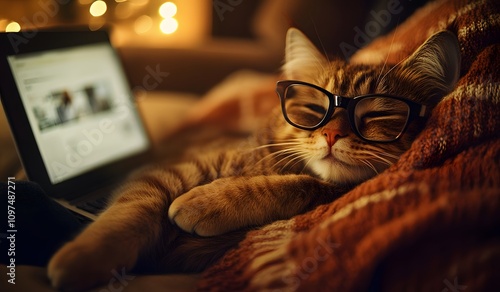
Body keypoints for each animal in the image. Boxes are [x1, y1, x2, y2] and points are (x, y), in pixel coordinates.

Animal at [47, 28, 460, 290]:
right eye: (315, 109)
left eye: (376, 115)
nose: (331, 135)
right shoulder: (167, 174)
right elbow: (129, 212)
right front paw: (83, 259)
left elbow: (297, 185)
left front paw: (206, 201)